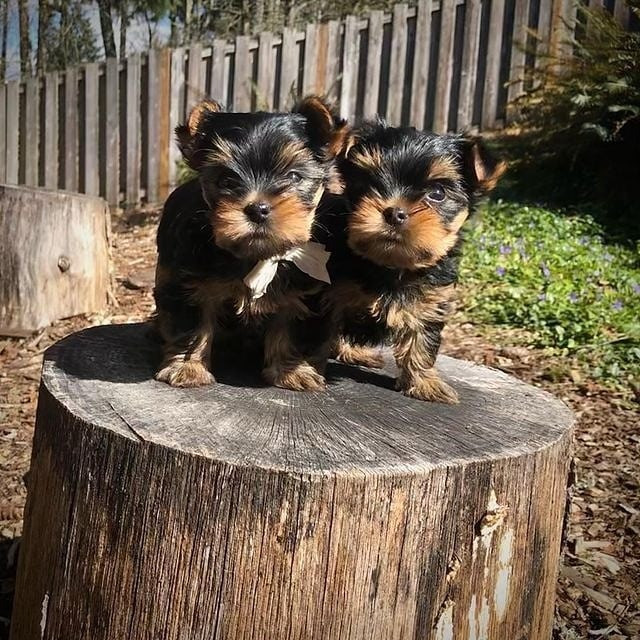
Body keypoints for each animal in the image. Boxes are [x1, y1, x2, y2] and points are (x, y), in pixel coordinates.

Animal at [153, 96, 348, 390]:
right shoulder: (187, 283)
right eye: (225, 180)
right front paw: (187, 368)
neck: (256, 255)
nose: (258, 208)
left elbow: (294, 328)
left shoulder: (306, 294)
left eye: (293, 176)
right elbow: (192, 324)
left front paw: (293, 372)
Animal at [324, 122, 504, 402]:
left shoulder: (430, 301)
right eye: (367, 182)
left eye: (437, 193)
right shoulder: (332, 294)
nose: (394, 212)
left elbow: (422, 342)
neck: (391, 265)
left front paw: (424, 384)